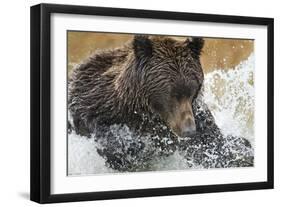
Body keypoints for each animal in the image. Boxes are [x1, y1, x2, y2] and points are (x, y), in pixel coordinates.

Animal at [68, 35, 254, 171]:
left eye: (192, 89)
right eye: (172, 93)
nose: (189, 130)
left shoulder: (197, 113)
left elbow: (212, 144)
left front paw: (241, 151)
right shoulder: (93, 103)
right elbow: (109, 138)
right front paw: (132, 146)